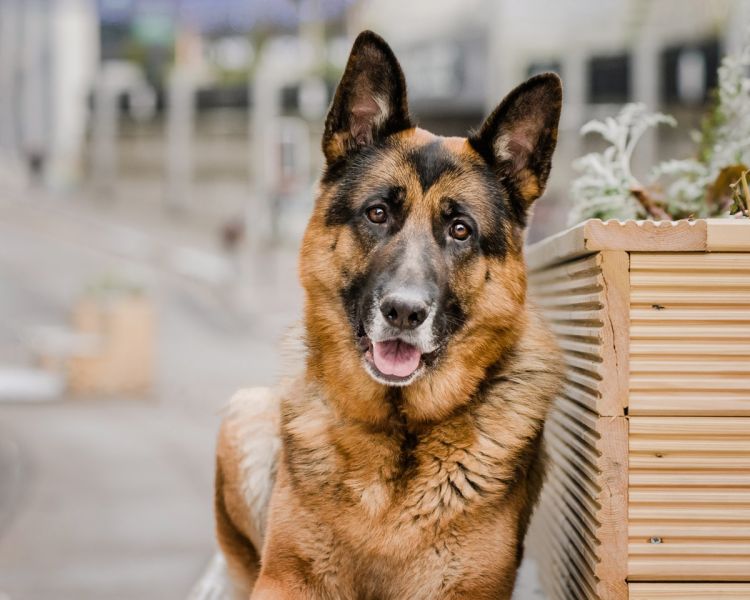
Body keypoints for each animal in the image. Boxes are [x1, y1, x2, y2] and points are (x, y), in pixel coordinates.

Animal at [212, 31, 564, 600]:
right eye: (378, 213)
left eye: (460, 230)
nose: (403, 311)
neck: (399, 433)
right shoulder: (286, 578)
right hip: (246, 413)